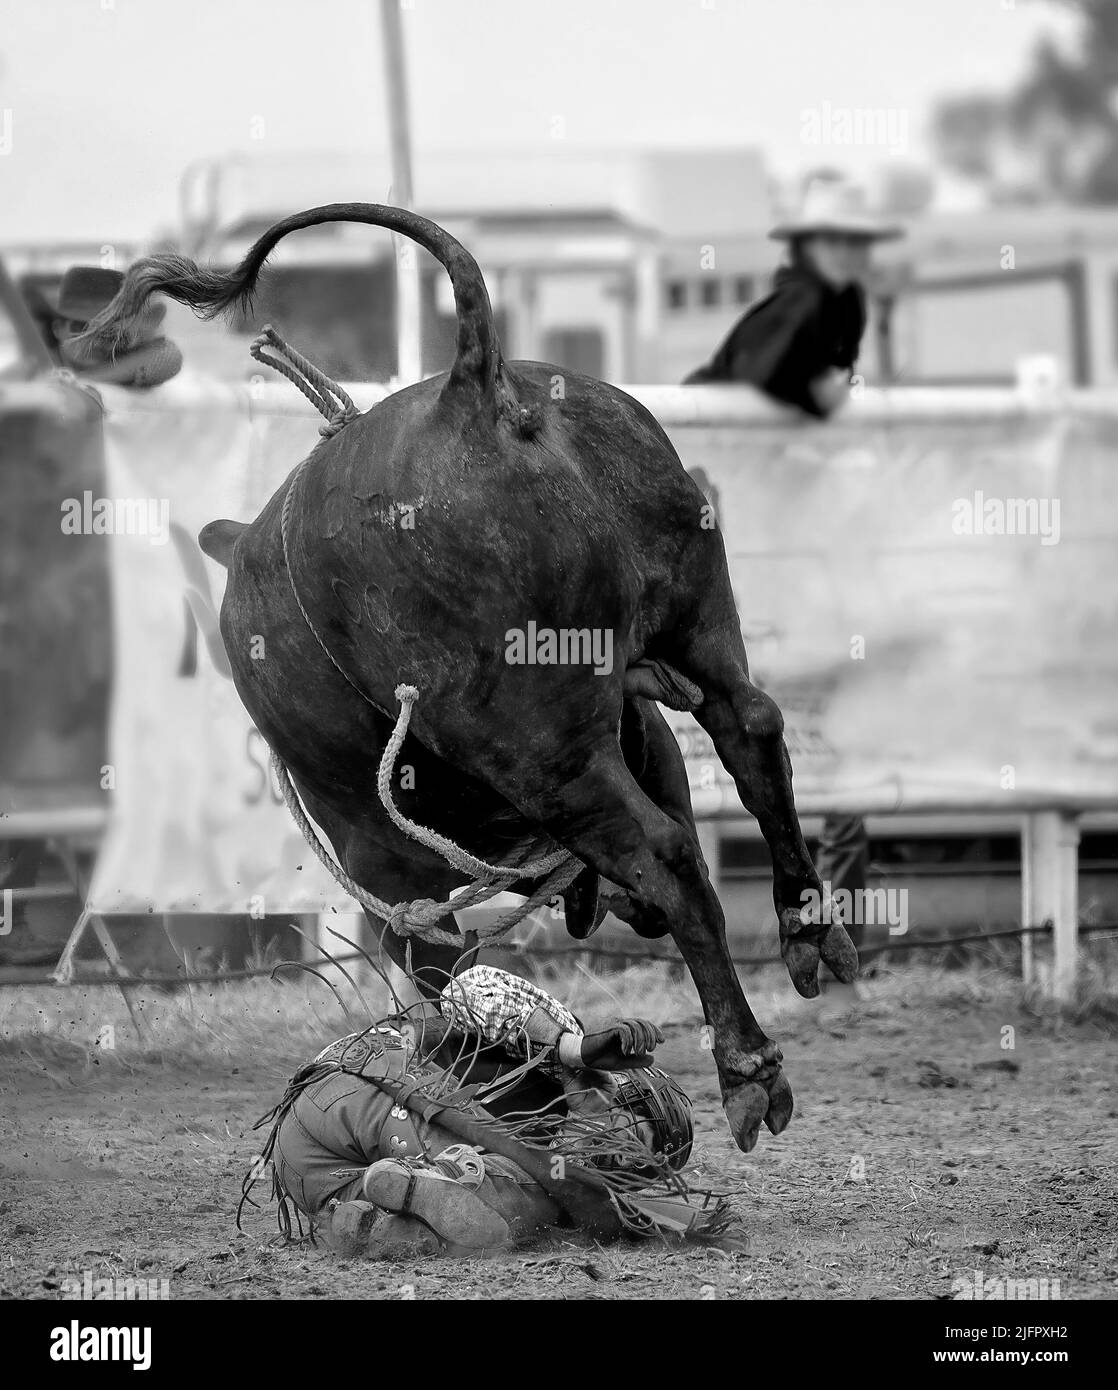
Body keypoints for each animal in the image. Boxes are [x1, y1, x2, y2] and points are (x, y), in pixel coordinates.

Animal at [80, 202, 856, 1162]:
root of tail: (475, 392)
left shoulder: (389, 872)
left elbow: (442, 975)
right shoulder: (642, 728)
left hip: (541, 748)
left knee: (667, 848)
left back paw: (748, 1066)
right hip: (697, 620)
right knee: (750, 731)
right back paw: (808, 930)